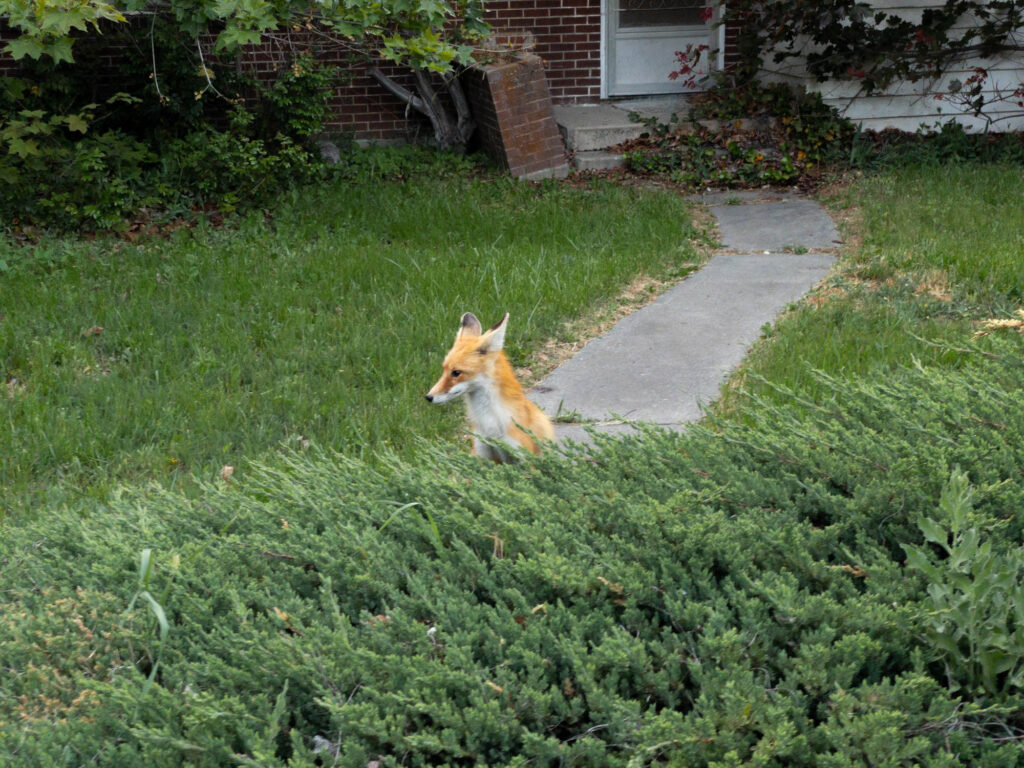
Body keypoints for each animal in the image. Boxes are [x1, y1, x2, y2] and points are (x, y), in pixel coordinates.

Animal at [426, 312, 556, 462]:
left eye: (456, 372)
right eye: (444, 369)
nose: (428, 397)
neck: (491, 425)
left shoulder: (522, 455)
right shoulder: (481, 451)